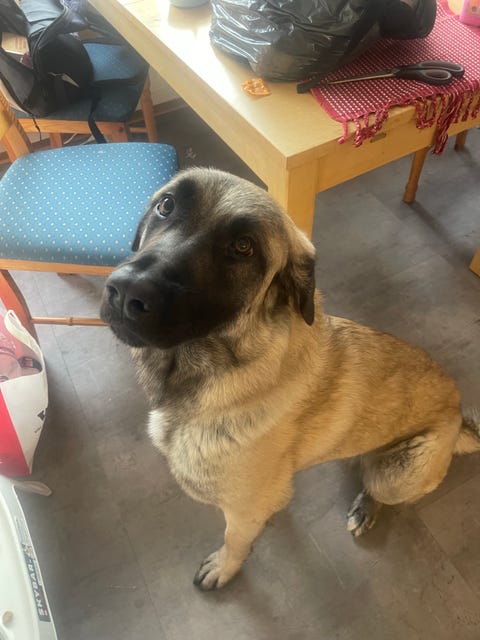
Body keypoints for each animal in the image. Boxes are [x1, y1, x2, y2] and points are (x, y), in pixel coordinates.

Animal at [100, 167, 480, 591]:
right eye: (166, 205)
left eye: (244, 247)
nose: (126, 292)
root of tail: (458, 418)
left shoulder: (243, 508)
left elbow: (234, 540)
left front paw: (225, 567)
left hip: (397, 473)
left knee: (378, 488)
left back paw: (366, 508)